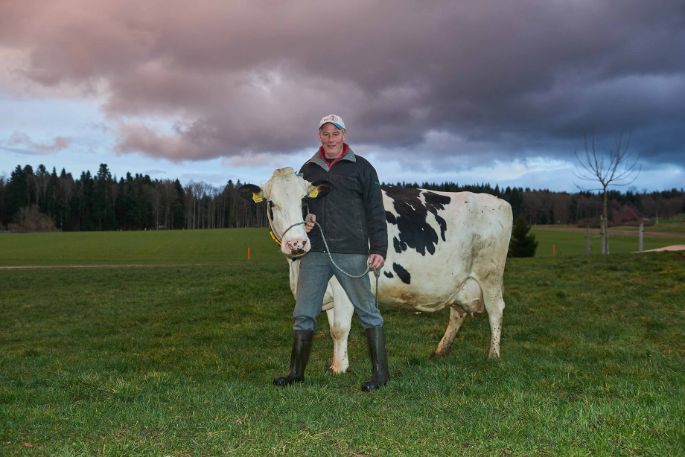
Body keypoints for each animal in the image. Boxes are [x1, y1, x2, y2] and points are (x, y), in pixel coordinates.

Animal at [240, 167, 513, 374]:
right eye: (271, 204)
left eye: (304, 200)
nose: (296, 243)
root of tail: (497, 201)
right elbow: (332, 329)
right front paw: (335, 363)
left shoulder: (344, 285)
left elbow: (340, 328)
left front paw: (339, 368)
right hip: (461, 281)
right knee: (457, 312)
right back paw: (440, 350)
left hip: (489, 274)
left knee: (496, 310)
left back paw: (494, 354)